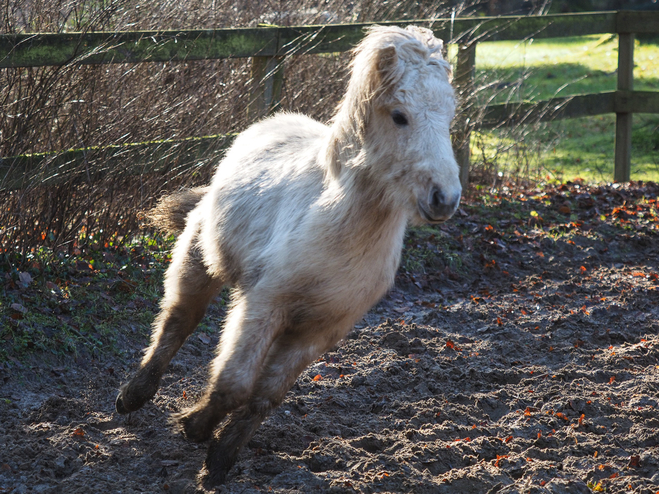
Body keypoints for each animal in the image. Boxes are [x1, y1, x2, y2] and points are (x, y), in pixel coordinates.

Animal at [116, 24, 462, 486]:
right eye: (399, 115)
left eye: (448, 117)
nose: (445, 198)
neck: (339, 227)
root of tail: (269, 123)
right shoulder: (264, 304)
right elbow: (235, 383)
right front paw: (195, 426)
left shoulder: (320, 331)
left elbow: (267, 395)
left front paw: (220, 457)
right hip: (199, 259)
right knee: (178, 322)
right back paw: (133, 396)